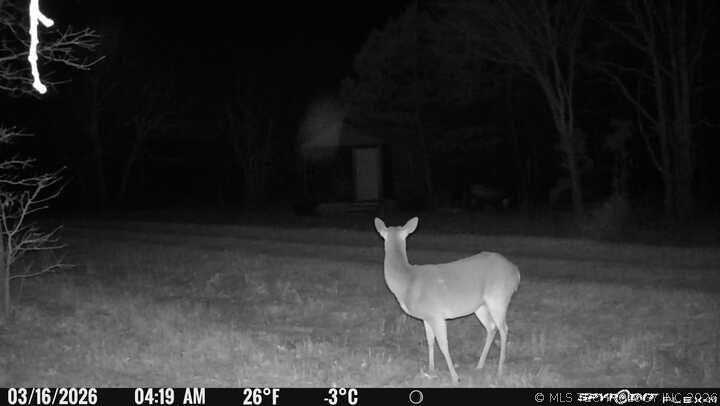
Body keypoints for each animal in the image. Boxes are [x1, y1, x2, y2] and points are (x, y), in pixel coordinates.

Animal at [374, 217, 520, 384]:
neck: (408, 282)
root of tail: (516, 272)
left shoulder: (436, 314)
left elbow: (443, 344)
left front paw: (455, 377)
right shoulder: (426, 317)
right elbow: (430, 341)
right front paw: (431, 369)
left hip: (499, 297)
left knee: (504, 329)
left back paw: (500, 371)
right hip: (481, 306)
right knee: (491, 327)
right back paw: (479, 366)